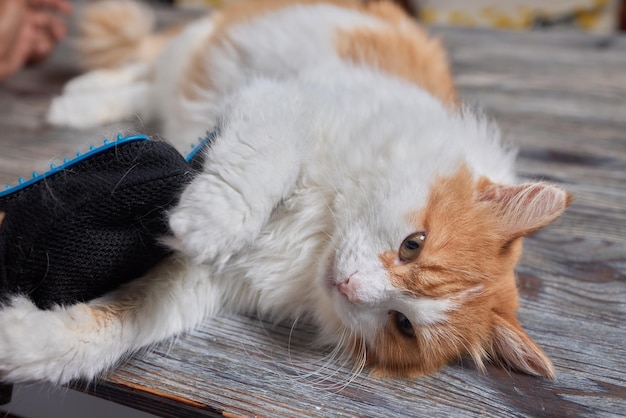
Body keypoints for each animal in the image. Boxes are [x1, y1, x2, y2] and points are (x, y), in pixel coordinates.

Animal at [0, 0, 568, 386]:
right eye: (414, 244)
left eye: (403, 324)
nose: (350, 286)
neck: (314, 239)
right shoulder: (277, 102)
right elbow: (260, 168)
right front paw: (208, 220)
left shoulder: (208, 283)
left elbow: (113, 326)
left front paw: (21, 344)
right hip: (205, 50)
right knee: (145, 68)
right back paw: (78, 100)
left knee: (150, 84)